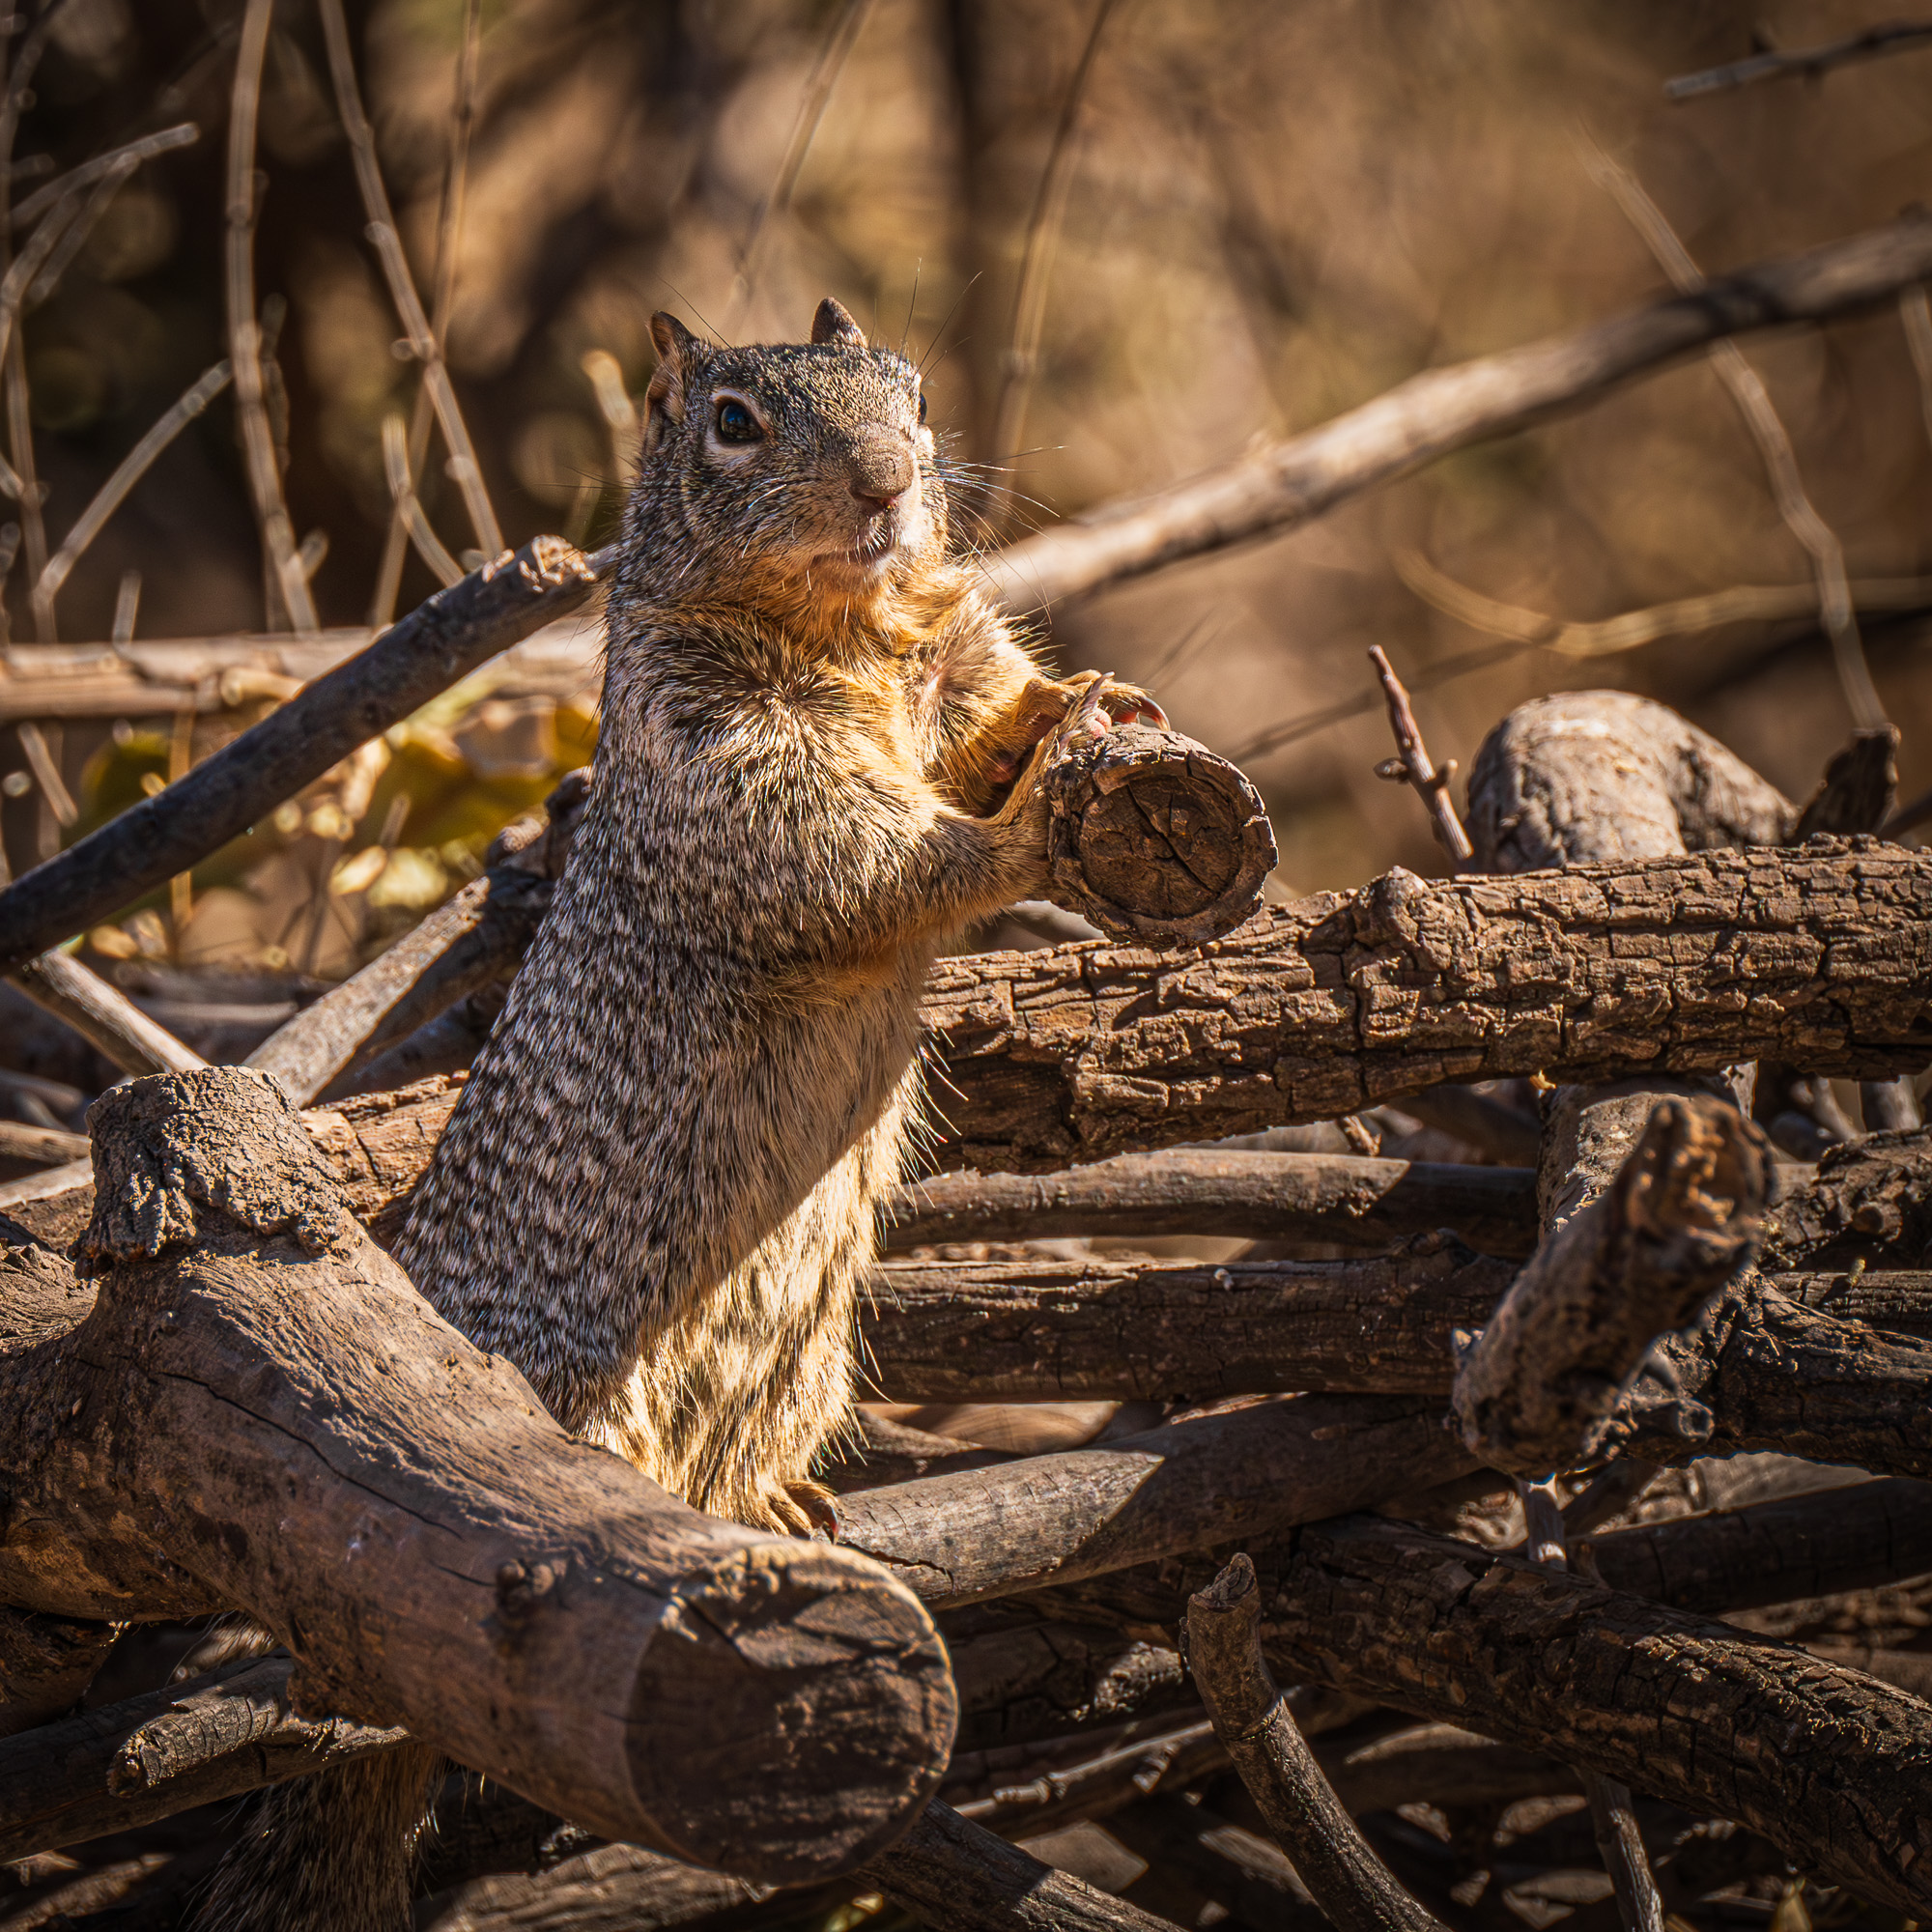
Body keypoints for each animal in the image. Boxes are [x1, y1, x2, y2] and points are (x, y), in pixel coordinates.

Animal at [194, 296, 1162, 1930]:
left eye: (912, 391)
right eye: (731, 421)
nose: (892, 482)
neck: (846, 628)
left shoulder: (944, 669)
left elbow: (990, 713)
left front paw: (1096, 701)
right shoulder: (728, 768)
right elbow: (878, 863)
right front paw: (1024, 828)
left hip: (805, 1360)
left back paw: (779, 1503)